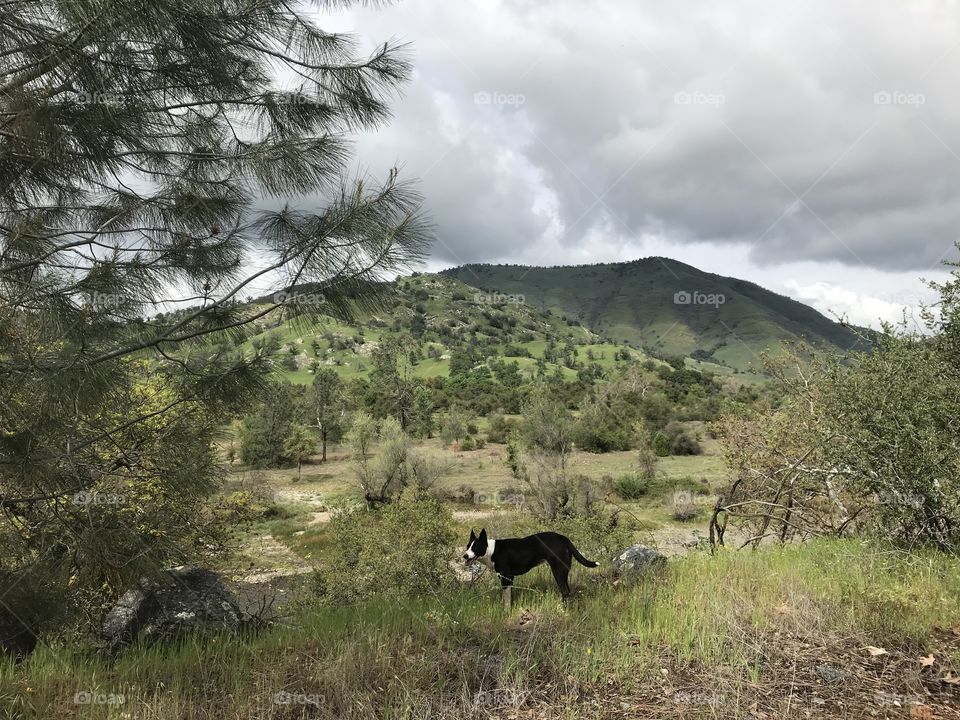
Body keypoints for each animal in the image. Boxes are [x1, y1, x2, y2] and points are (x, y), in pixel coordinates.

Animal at [462, 528, 596, 600]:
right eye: (468, 546)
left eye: (476, 547)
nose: (465, 556)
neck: (491, 550)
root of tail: (563, 538)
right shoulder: (510, 578)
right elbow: (509, 596)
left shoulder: (505, 578)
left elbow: (506, 598)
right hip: (564, 571)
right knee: (567, 591)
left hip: (558, 570)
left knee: (565, 591)